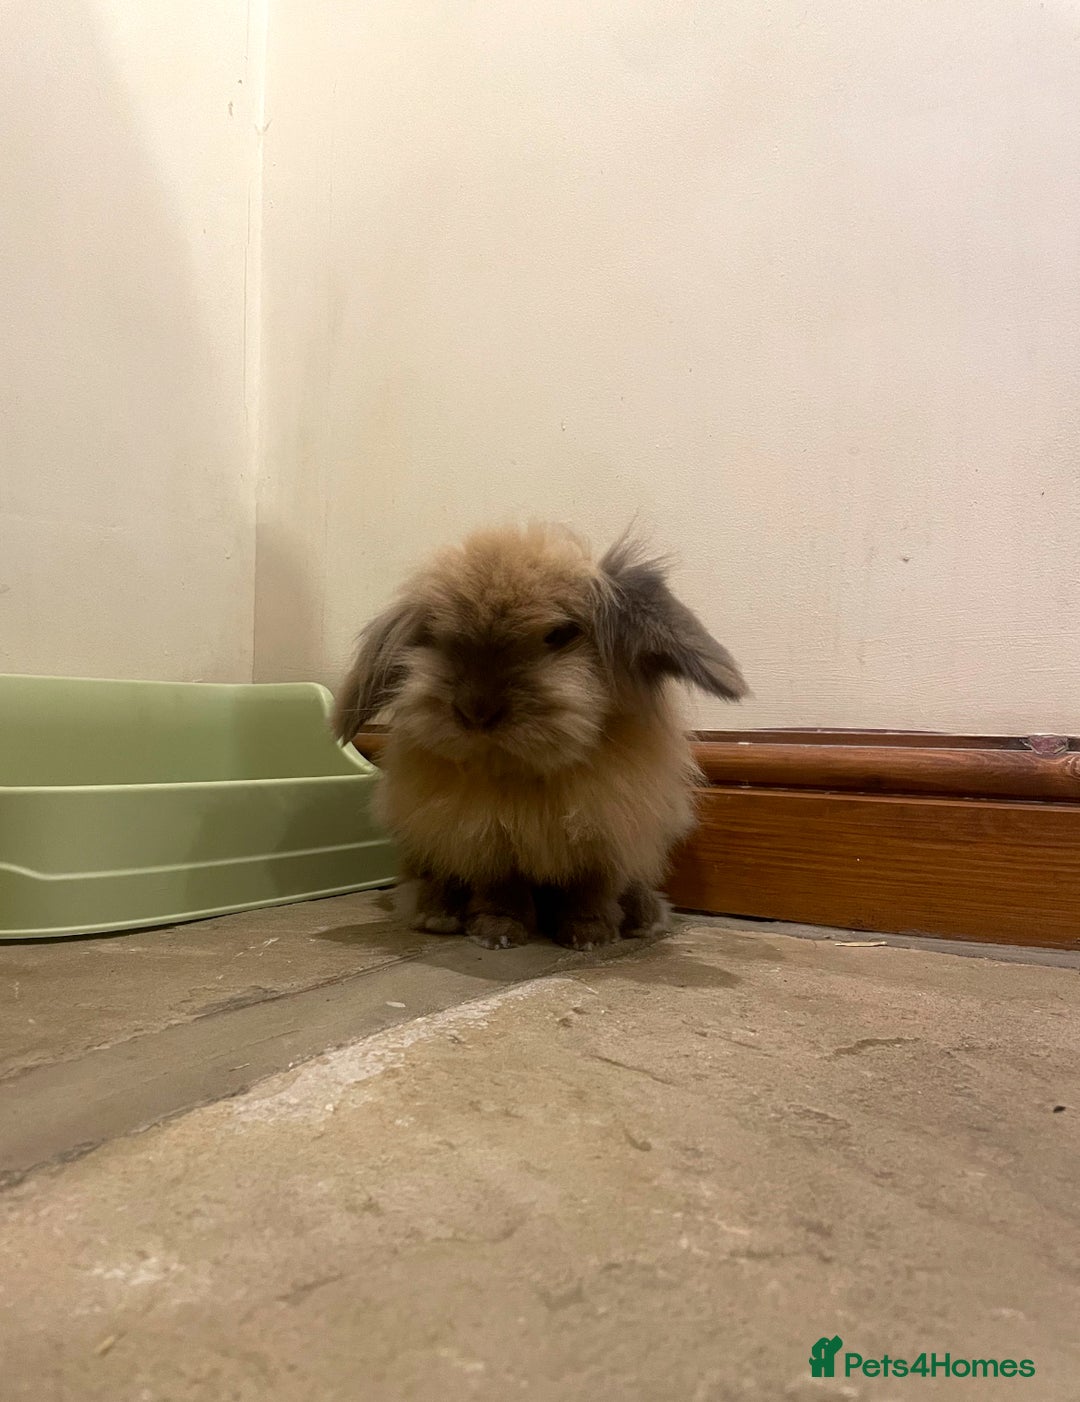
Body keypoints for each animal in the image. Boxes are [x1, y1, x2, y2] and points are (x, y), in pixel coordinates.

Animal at [333, 523, 747, 951]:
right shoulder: (487, 840)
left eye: (560, 634)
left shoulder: (602, 836)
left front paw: (590, 935)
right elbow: (501, 890)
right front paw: (497, 933)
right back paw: (436, 914)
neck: (525, 772)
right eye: (434, 636)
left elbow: (590, 892)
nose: (475, 710)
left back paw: (643, 918)